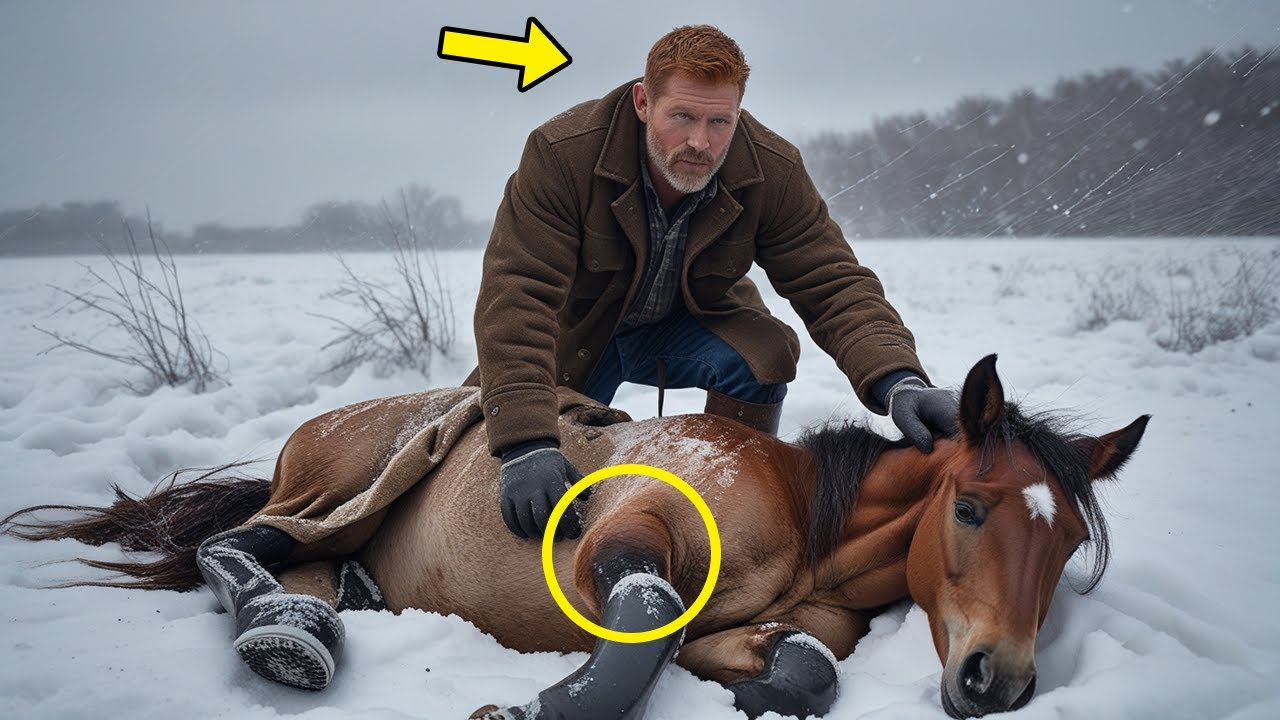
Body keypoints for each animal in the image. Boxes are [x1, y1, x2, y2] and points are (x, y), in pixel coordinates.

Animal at [2, 355, 1148, 719]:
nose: (1000, 680)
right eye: (969, 508)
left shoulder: (794, 624)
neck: (806, 523)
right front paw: (521, 712)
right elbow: (645, 623)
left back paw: (332, 609)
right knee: (236, 546)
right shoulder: (629, 533)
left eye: (1062, 551)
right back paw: (286, 631)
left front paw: (747, 691)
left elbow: (804, 671)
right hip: (340, 490)